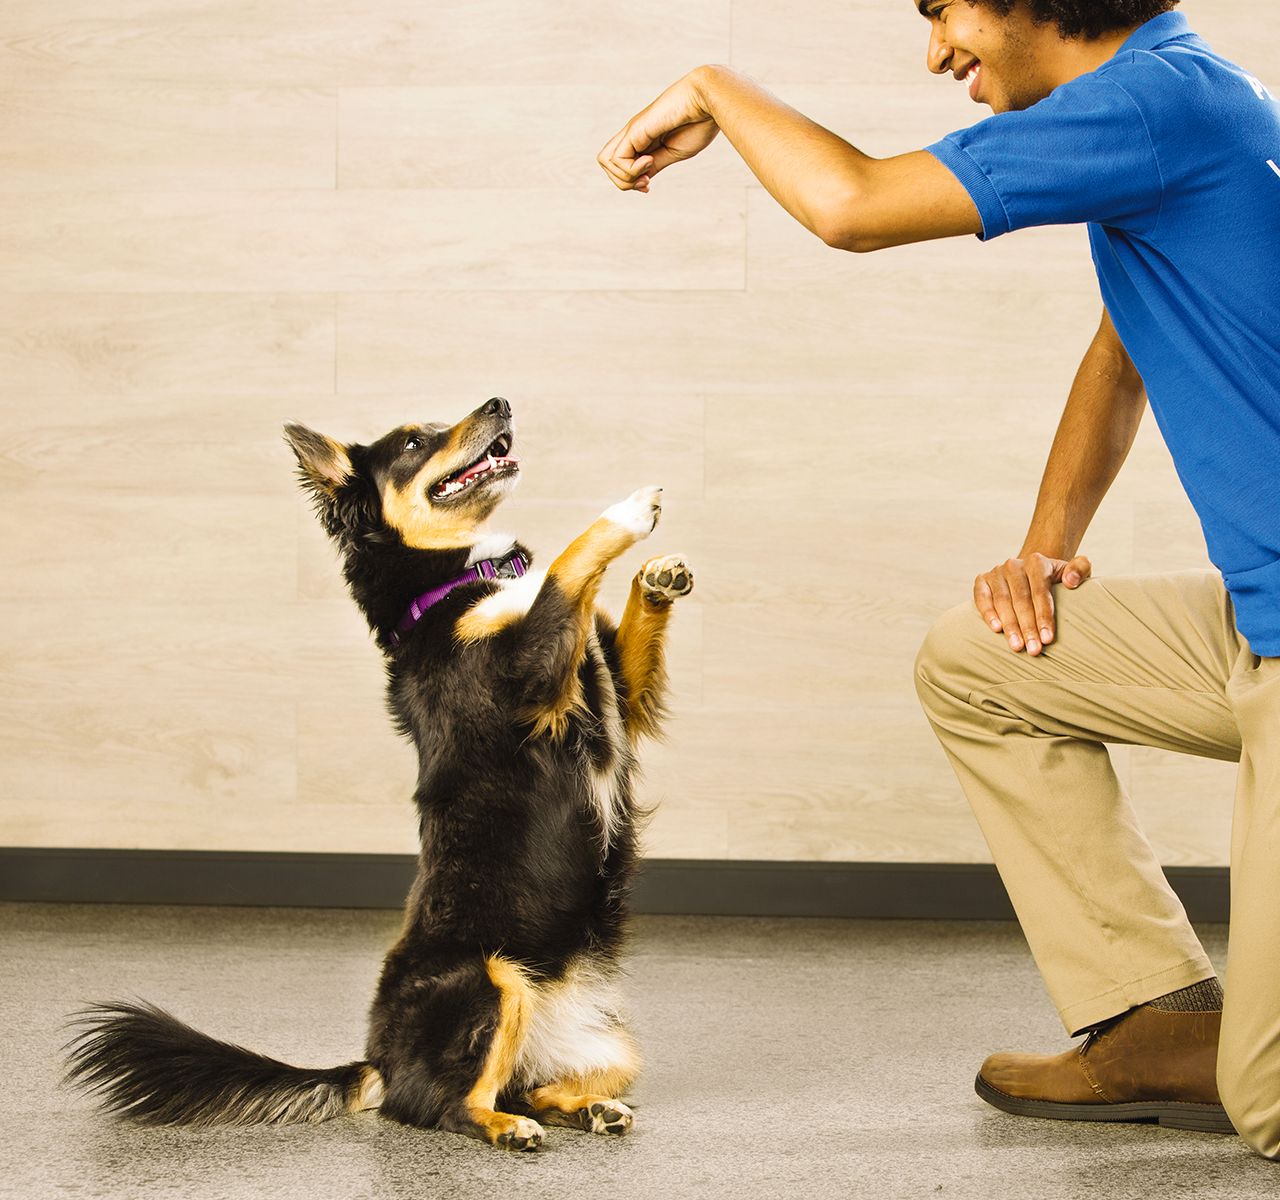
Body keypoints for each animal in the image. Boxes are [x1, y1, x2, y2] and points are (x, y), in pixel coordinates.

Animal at [64, 396, 696, 1146]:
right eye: (416, 442)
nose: (500, 403)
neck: (461, 582)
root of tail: (377, 1061)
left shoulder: (615, 693)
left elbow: (611, 625)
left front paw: (656, 580)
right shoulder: (528, 673)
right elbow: (567, 567)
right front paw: (627, 512)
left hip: (610, 1050)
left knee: (527, 1087)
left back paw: (587, 1108)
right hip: (491, 980)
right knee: (444, 1106)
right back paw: (504, 1127)